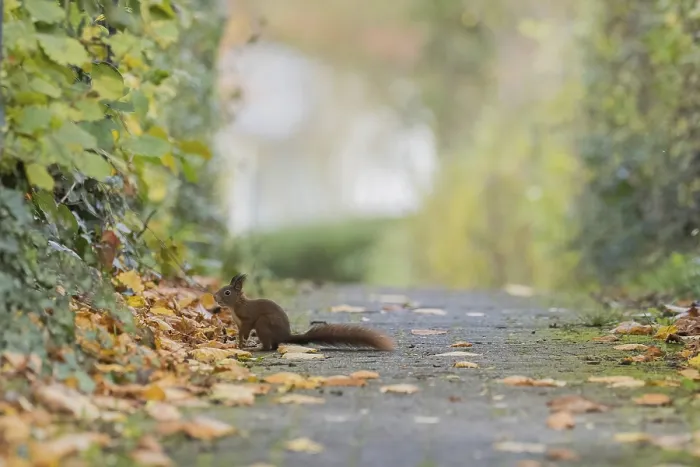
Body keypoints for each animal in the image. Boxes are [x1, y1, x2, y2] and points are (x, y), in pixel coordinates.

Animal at [213, 273, 394, 351]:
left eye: (227, 292)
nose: (214, 296)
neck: (236, 306)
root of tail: (285, 336)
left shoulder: (248, 319)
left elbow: (245, 330)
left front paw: (242, 344)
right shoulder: (238, 324)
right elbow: (240, 333)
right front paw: (238, 344)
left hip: (263, 323)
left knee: (269, 346)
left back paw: (259, 348)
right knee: (274, 345)